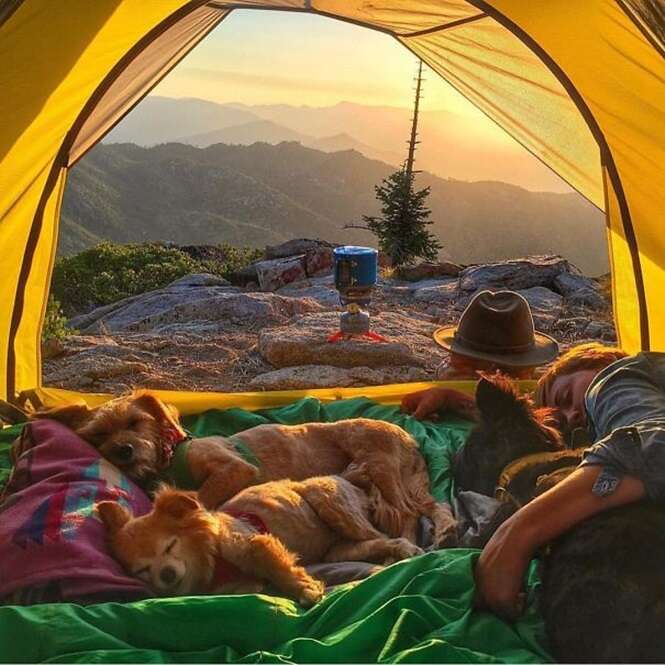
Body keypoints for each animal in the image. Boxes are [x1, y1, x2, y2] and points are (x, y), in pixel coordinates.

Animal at [36, 394, 456, 544]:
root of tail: (411, 440)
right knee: (425, 506)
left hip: (375, 459)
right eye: (99, 434)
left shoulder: (235, 468)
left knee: (406, 511)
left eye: (135, 422)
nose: (122, 451)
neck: (171, 457)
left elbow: (204, 496)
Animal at [97, 480, 420, 604]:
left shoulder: (251, 542)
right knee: (373, 544)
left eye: (170, 546)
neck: (213, 565)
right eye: (142, 571)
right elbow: (254, 586)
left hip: (331, 503)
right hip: (339, 550)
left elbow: (276, 566)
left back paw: (405, 550)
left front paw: (304, 589)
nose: (166, 575)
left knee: (384, 536)